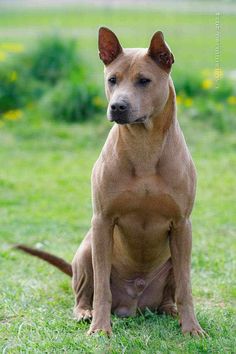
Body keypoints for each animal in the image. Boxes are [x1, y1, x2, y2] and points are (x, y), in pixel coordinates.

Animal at [15, 26, 206, 336]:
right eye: (112, 80)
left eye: (144, 80)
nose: (117, 106)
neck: (144, 145)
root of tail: (134, 305)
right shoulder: (102, 221)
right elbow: (102, 288)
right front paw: (100, 328)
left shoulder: (182, 224)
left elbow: (186, 288)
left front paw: (191, 328)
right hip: (86, 250)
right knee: (85, 292)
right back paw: (85, 312)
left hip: (173, 259)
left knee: (174, 289)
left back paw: (170, 311)